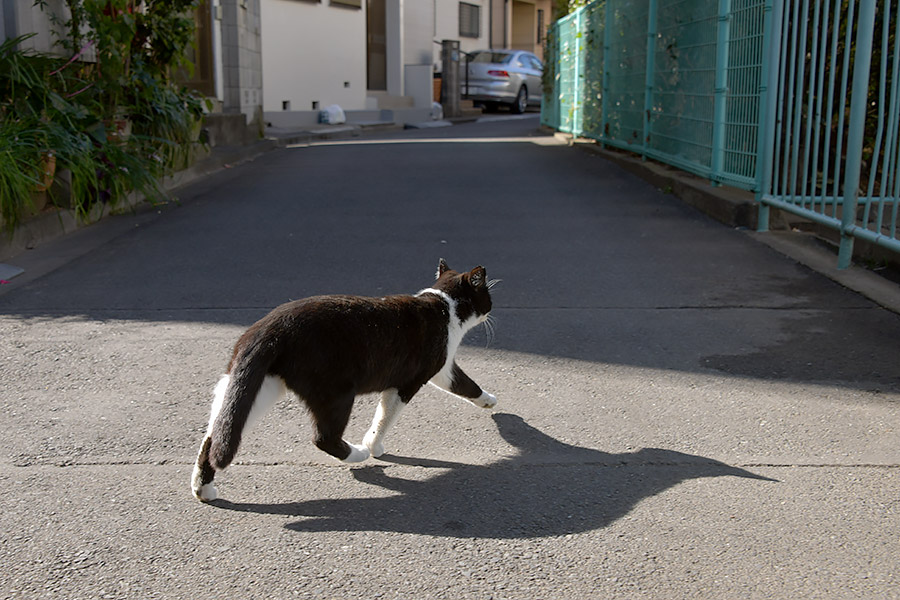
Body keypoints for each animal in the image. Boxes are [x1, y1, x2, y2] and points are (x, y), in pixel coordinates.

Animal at [192, 258, 500, 502]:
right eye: (487, 294)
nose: (491, 309)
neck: (444, 306)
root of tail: (269, 327)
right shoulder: (409, 382)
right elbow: (385, 417)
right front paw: (373, 446)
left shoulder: (441, 369)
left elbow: (462, 383)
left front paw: (488, 401)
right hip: (336, 391)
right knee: (324, 438)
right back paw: (358, 454)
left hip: (257, 386)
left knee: (216, 432)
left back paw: (203, 489)